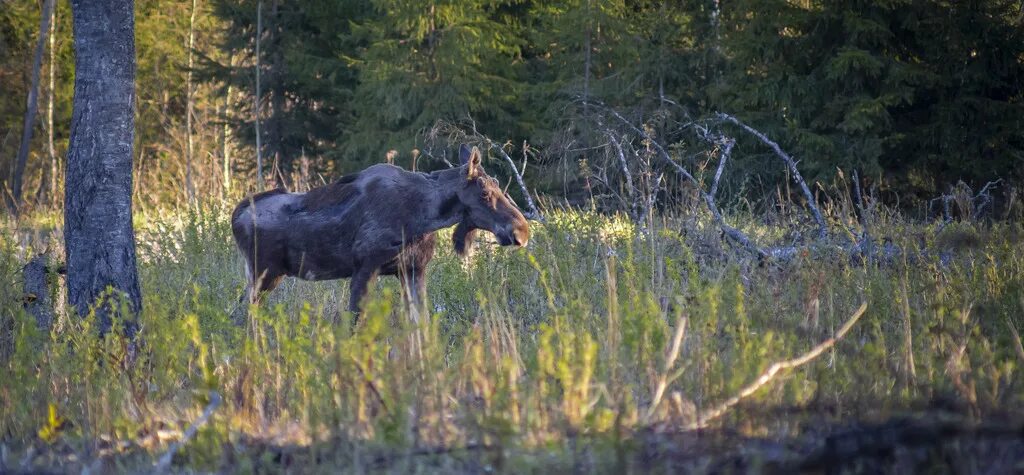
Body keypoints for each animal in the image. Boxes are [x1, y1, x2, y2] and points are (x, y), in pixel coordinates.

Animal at [233, 143, 532, 323]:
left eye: (498, 185)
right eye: (484, 193)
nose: (522, 231)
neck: (424, 216)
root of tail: (235, 217)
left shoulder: (412, 269)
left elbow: (420, 323)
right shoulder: (365, 267)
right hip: (263, 273)